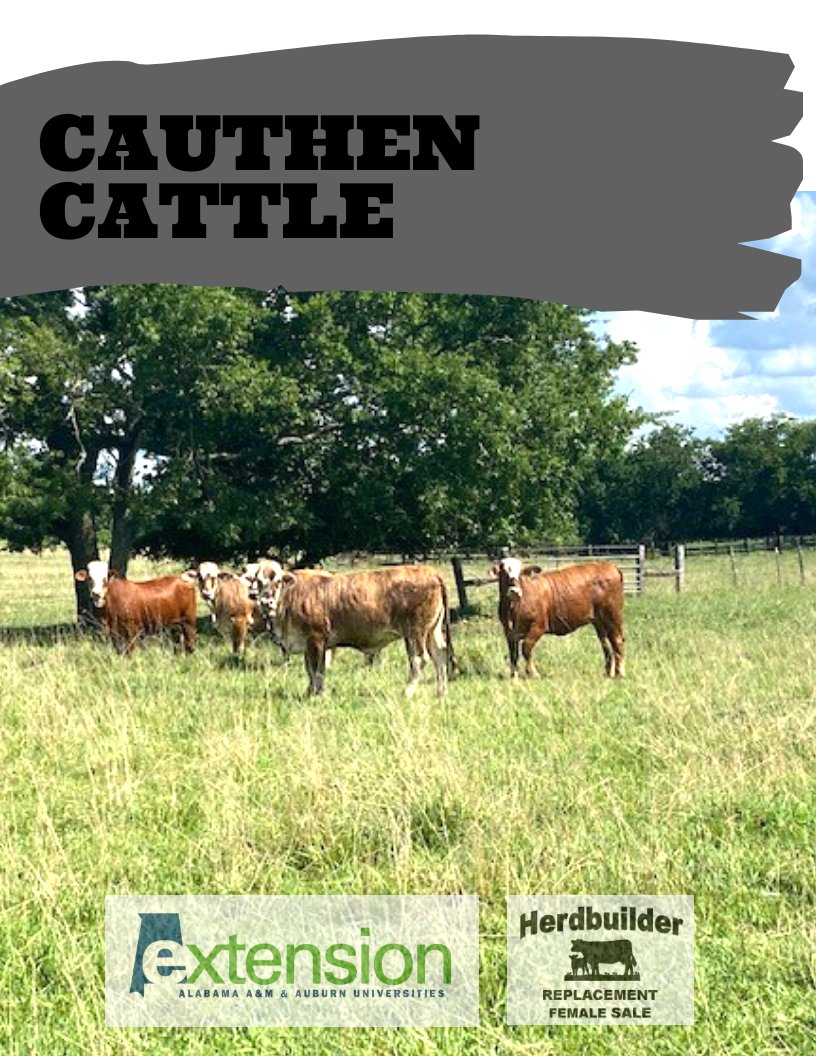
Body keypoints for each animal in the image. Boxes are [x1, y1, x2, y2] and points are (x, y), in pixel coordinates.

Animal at [254, 564, 456, 696]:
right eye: (258, 582)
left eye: (278, 581)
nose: (266, 601)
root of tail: (429, 570)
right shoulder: (309, 643)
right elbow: (311, 669)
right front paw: (311, 691)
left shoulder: (315, 638)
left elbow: (316, 669)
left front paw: (314, 693)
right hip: (432, 630)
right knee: (440, 654)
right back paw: (441, 691)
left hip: (415, 632)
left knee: (419, 659)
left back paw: (407, 691)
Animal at [493, 557, 625, 678]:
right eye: (503, 571)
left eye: (521, 573)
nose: (514, 591)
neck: (513, 608)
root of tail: (610, 566)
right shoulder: (509, 632)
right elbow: (513, 653)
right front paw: (513, 676)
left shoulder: (538, 626)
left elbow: (526, 647)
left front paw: (533, 673)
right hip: (599, 621)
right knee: (605, 644)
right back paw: (607, 673)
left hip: (612, 616)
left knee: (617, 641)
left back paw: (619, 673)